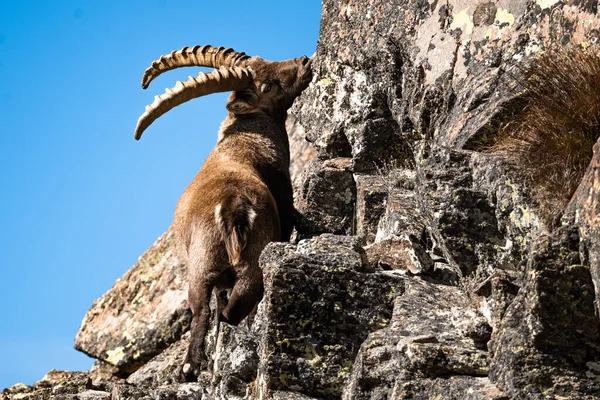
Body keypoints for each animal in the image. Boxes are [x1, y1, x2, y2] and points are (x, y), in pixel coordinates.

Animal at [134, 45, 314, 380]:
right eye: (267, 86)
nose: (304, 62)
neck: (246, 138)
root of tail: (232, 204)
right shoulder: (283, 194)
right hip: (247, 258)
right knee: (228, 309)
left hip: (206, 266)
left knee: (209, 309)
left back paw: (194, 366)